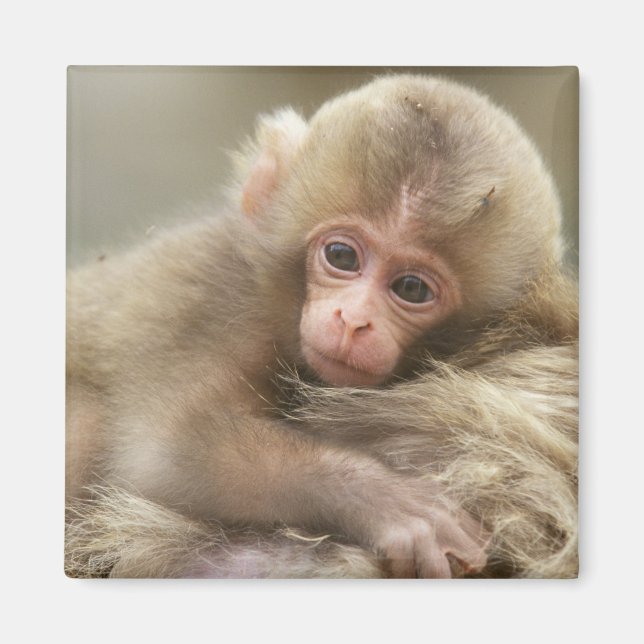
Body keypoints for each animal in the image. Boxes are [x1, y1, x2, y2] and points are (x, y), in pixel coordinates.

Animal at [65, 73, 578, 578]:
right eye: (342, 256)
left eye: (412, 288)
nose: (352, 321)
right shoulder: (212, 301)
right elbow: (165, 452)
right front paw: (389, 503)